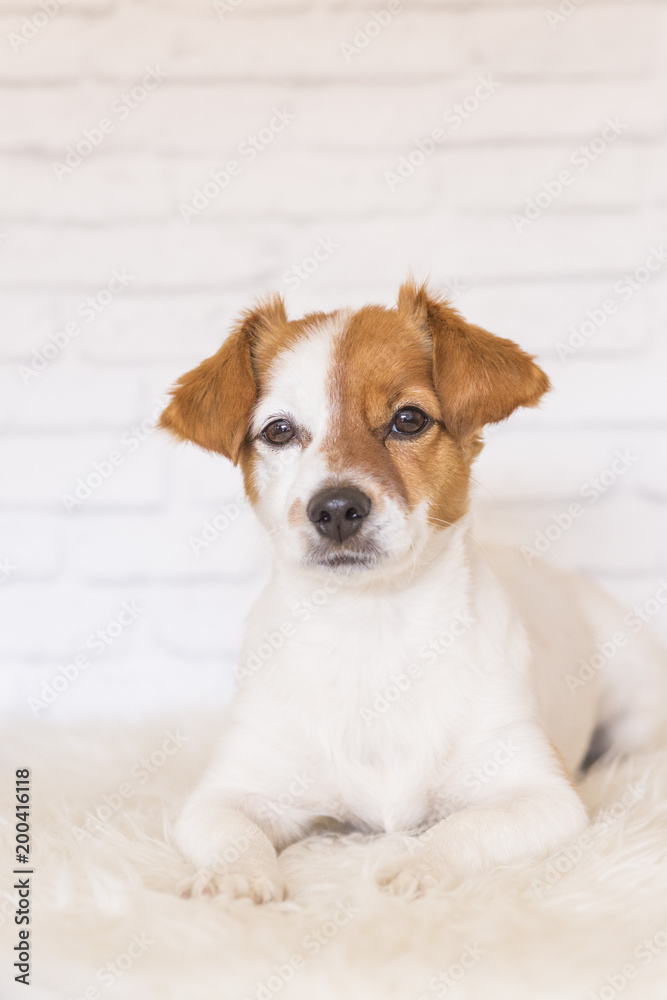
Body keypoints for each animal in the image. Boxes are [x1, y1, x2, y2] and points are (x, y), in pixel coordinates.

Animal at [159, 278, 664, 904]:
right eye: (279, 430)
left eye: (408, 420)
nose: (336, 508)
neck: (372, 625)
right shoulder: (227, 793)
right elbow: (232, 832)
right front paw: (235, 879)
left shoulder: (541, 795)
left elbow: (463, 829)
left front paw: (416, 867)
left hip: (636, 701)